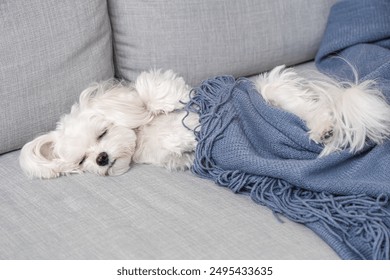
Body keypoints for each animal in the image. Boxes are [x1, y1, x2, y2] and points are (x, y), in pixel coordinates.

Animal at [19, 70, 197, 179]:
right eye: (82, 160)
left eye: (102, 133)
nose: (101, 158)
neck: (141, 136)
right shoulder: (162, 155)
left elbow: (151, 87)